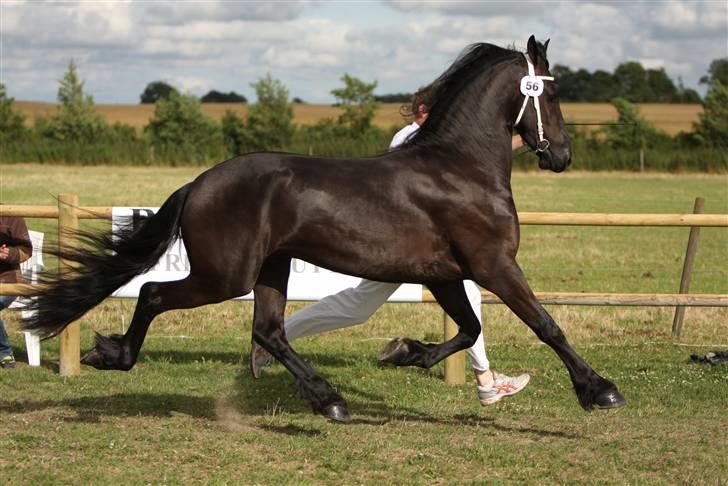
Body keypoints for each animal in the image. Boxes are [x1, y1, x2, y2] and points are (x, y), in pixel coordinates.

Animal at [25, 37, 624, 422]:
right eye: (551, 95)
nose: (562, 156)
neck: (461, 168)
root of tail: (199, 184)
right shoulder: (494, 265)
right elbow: (546, 325)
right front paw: (599, 390)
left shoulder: (446, 274)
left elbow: (471, 329)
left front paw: (405, 352)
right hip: (226, 274)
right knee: (153, 292)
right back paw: (115, 355)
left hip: (270, 268)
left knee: (269, 331)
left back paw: (326, 398)